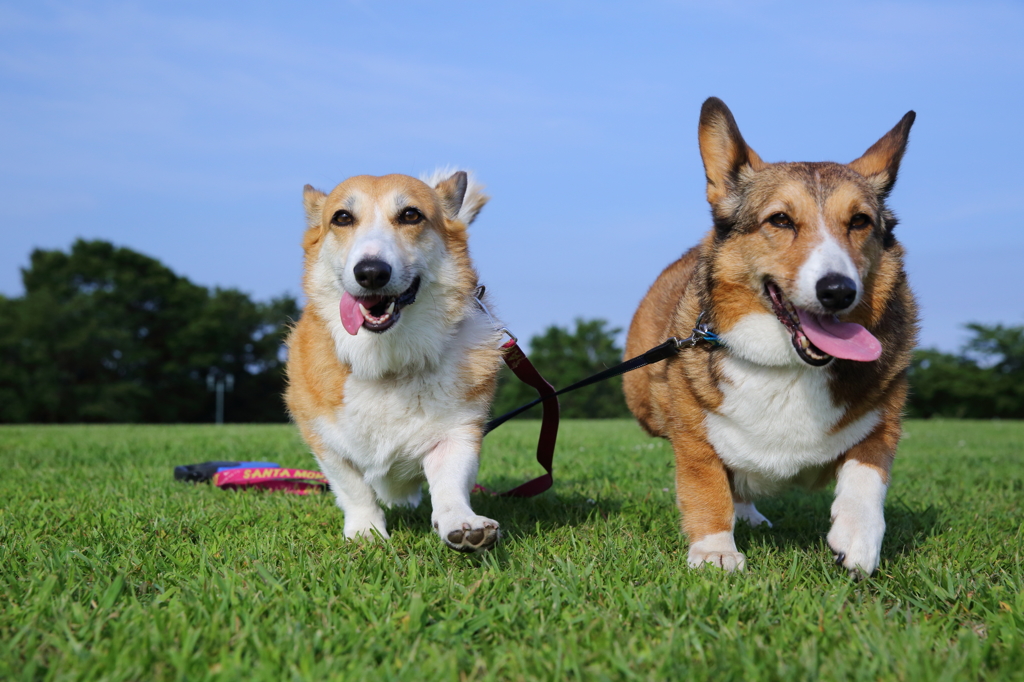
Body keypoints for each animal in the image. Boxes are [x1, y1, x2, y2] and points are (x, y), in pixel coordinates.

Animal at [284, 169, 503, 552]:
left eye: (411, 215)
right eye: (342, 218)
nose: (371, 272)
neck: (386, 361)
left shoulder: (458, 433)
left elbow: (449, 485)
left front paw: (463, 524)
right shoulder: (325, 440)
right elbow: (354, 488)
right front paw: (366, 531)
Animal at [622, 96, 921, 573]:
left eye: (859, 221)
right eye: (780, 220)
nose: (839, 290)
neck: (788, 367)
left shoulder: (883, 418)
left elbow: (867, 472)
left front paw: (858, 539)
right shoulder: (693, 435)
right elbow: (708, 485)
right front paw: (715, 552)